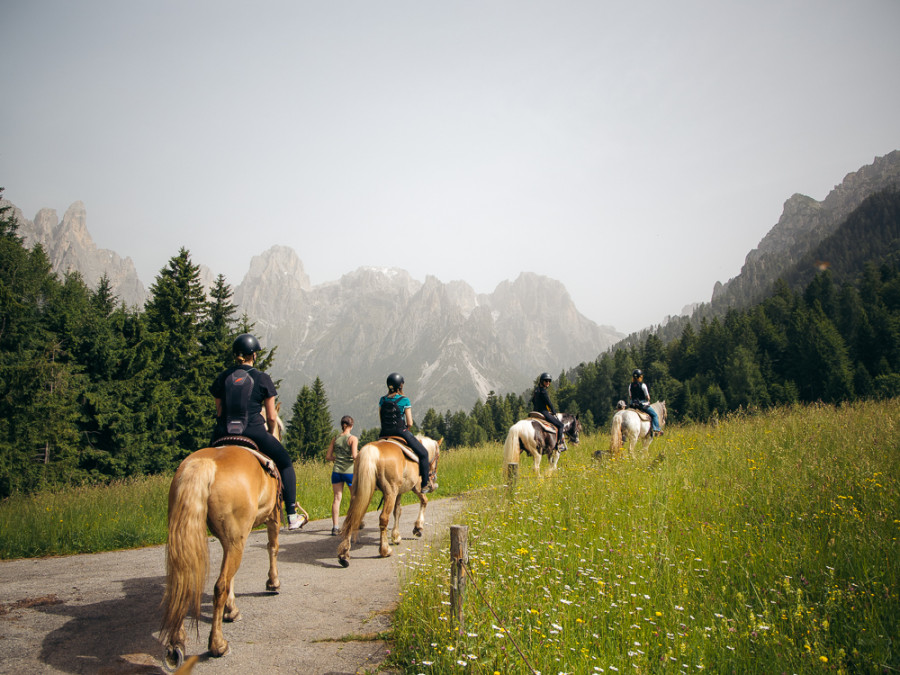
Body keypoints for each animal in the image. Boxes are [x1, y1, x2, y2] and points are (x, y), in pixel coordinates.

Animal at [160, 406, 298, 672]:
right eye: (279, 425)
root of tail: (203, 465)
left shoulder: (232, 538)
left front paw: (231, 610)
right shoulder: (272, 518)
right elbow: (272, 548)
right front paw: (273, 583)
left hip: (195, 535)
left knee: (182, 583)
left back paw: (176, 645)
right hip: (238, 537)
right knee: (219, 585)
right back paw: (217, 645)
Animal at [336, 436, 442, 568]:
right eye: (438, 456)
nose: (434, 476)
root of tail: (372, 450)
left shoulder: (398, 493)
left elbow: (397, 511)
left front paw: (396, 536)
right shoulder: (416, 487)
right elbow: (424, 501)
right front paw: (418, 528)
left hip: (358, 490)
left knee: (352, 517)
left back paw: (344, 555)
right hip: (390, 492)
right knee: (383, 518)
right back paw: (385, 550)